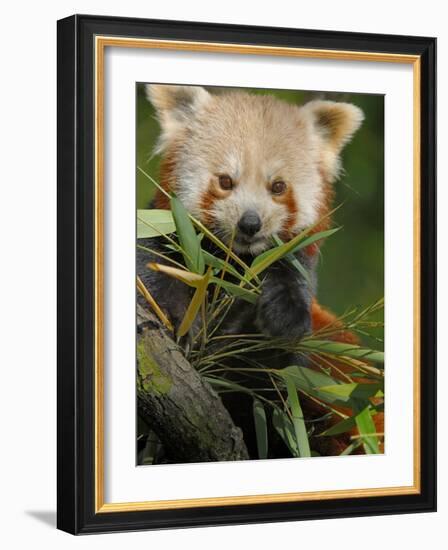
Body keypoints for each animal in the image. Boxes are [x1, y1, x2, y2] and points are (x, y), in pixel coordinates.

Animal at [136, 85, 382, 458]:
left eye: (278, 186)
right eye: (225, 181)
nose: (250, 224)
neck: (231, 264)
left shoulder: (291, 270)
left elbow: (275, 356)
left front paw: (281, 316)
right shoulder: (166, 238)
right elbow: (154, 278)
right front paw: (178, 320)